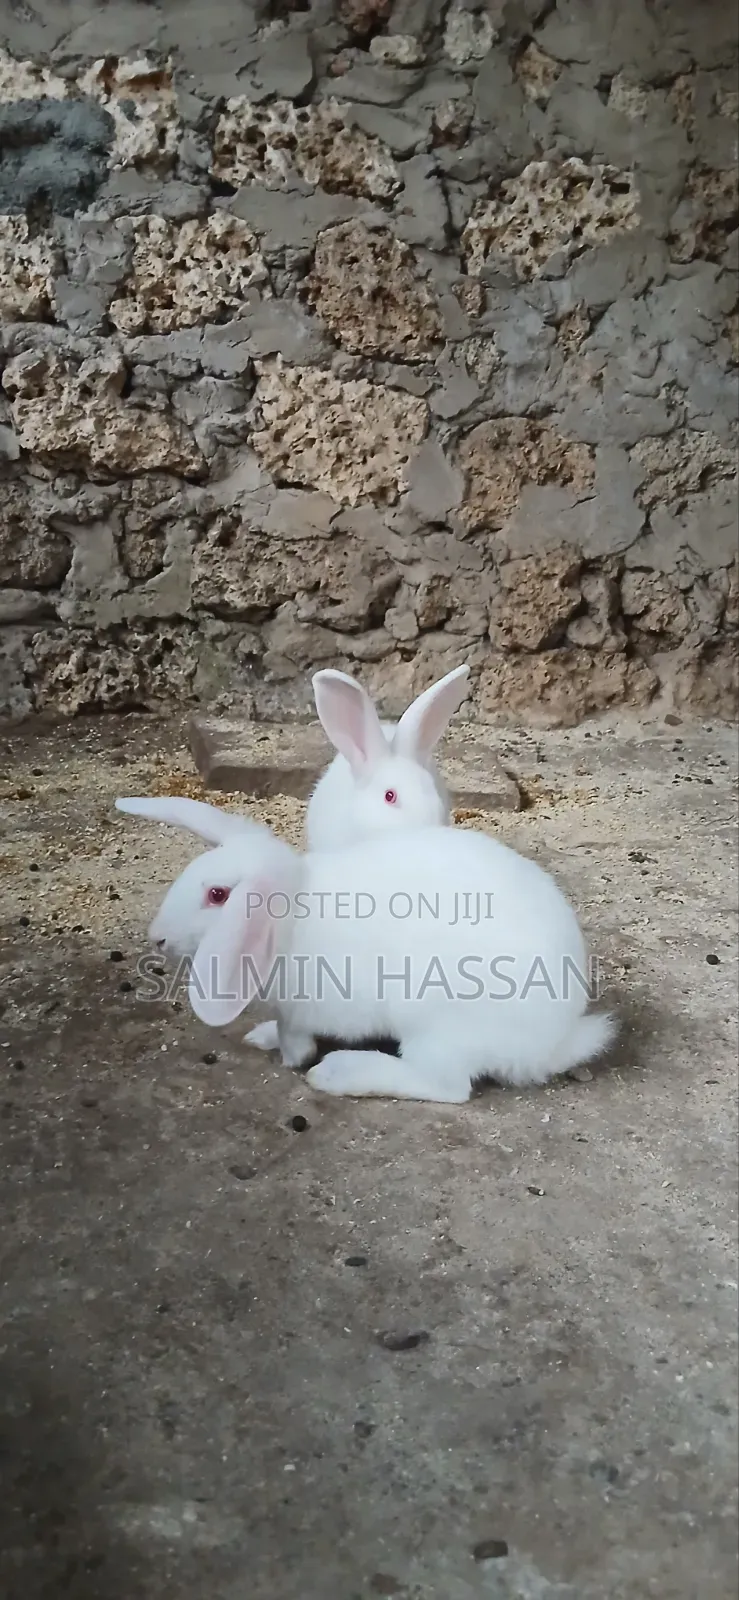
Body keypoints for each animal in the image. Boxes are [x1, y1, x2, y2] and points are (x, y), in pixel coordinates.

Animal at [126, 799, 616, 1103]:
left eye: (217, 895)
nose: (158, 937)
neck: (286, 918)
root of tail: (552, 1043)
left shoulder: (297, 1008)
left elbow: (295, 1041)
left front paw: (292, 1058)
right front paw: (261, 1037)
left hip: (436, 1025)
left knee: (446, 1086)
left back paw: (340, 1073)